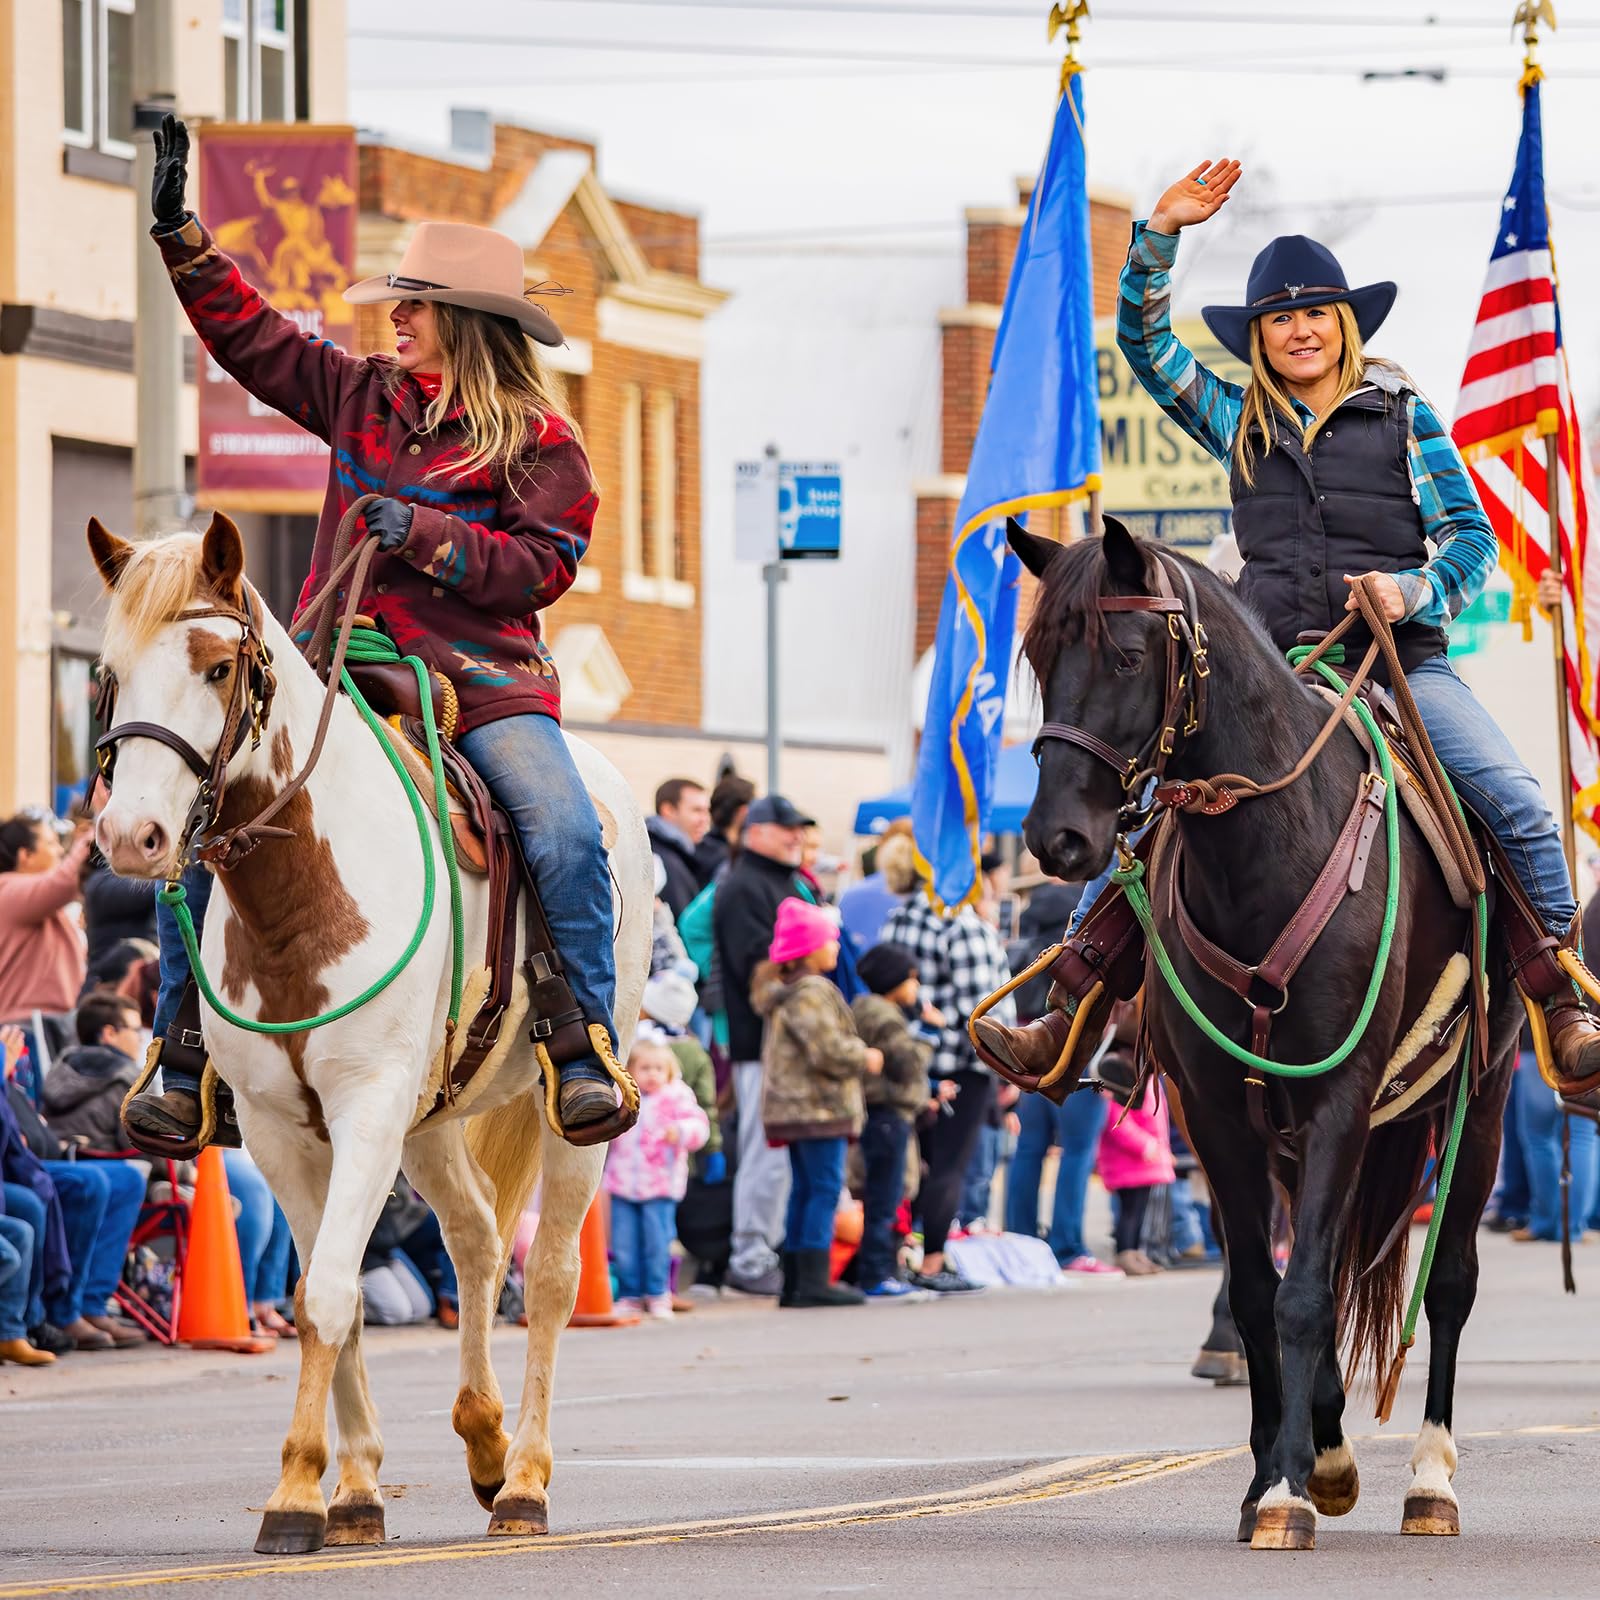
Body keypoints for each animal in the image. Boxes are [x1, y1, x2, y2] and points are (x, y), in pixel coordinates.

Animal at [84, 512, 649, 1548]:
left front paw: (297, 1494)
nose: (132, 837)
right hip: (430, 1118)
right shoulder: (285, 1130)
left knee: (551, 1275)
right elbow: (325, 1294)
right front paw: (341, 1494)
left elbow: (329, 1296)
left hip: (569, 1109)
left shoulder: (367, 1110)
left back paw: (525, 1481)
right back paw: (482, 1442)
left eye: (218, 667)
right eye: (109, 671)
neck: (301, 894)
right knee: (475, 1239)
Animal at [1004, 521, 1516, 1548]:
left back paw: (1430, 1480)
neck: (1266, 855)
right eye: (1039, 659)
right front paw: (1284, 1470)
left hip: (1481, 1099)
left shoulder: (1340, 1098)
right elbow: (1258, 1291)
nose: (1056, 839)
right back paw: (1329, 1444)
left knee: (1448, 1280)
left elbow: (1307, 1290)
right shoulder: (1220, 1116)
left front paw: (1286, 1489)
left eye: (1128, 656)